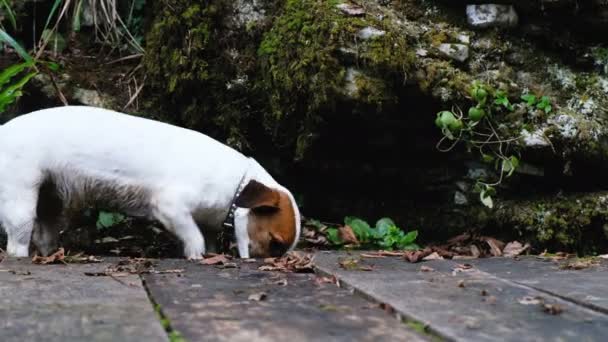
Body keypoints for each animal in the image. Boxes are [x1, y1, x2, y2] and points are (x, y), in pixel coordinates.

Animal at [0, 105, 302, 258]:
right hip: (21, 203)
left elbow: (207, 235)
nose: (274, 262)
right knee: (17, 241)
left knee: (44, 230)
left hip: (50, 198)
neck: (236, 185)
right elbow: (194, 236)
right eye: (275, 243)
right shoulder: (170, 206)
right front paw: (197, 255)